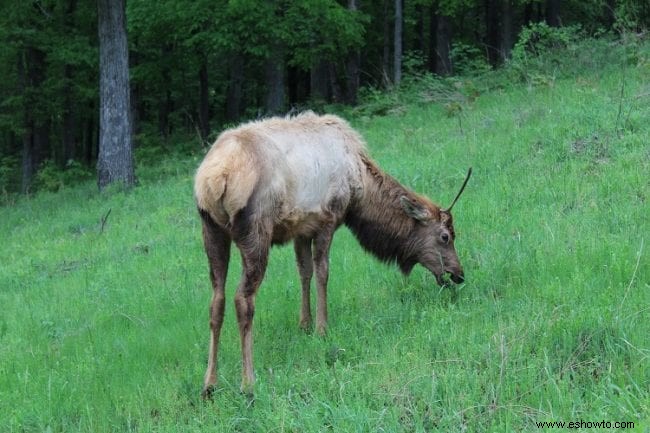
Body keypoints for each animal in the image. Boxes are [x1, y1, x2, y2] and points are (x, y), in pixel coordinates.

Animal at [194, 110, 470, 394]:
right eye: (445, 236)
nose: (458, 274)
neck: (360, 185)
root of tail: (213, 179)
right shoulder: (328, 219)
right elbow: (322, 273)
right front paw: (321, 328)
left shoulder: (302, 228)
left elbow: (304, 272)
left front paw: (304, 325)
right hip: (256, 231)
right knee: (243, 299)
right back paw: (248, 382)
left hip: (211, 230)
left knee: (216, 300)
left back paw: (209, 384)